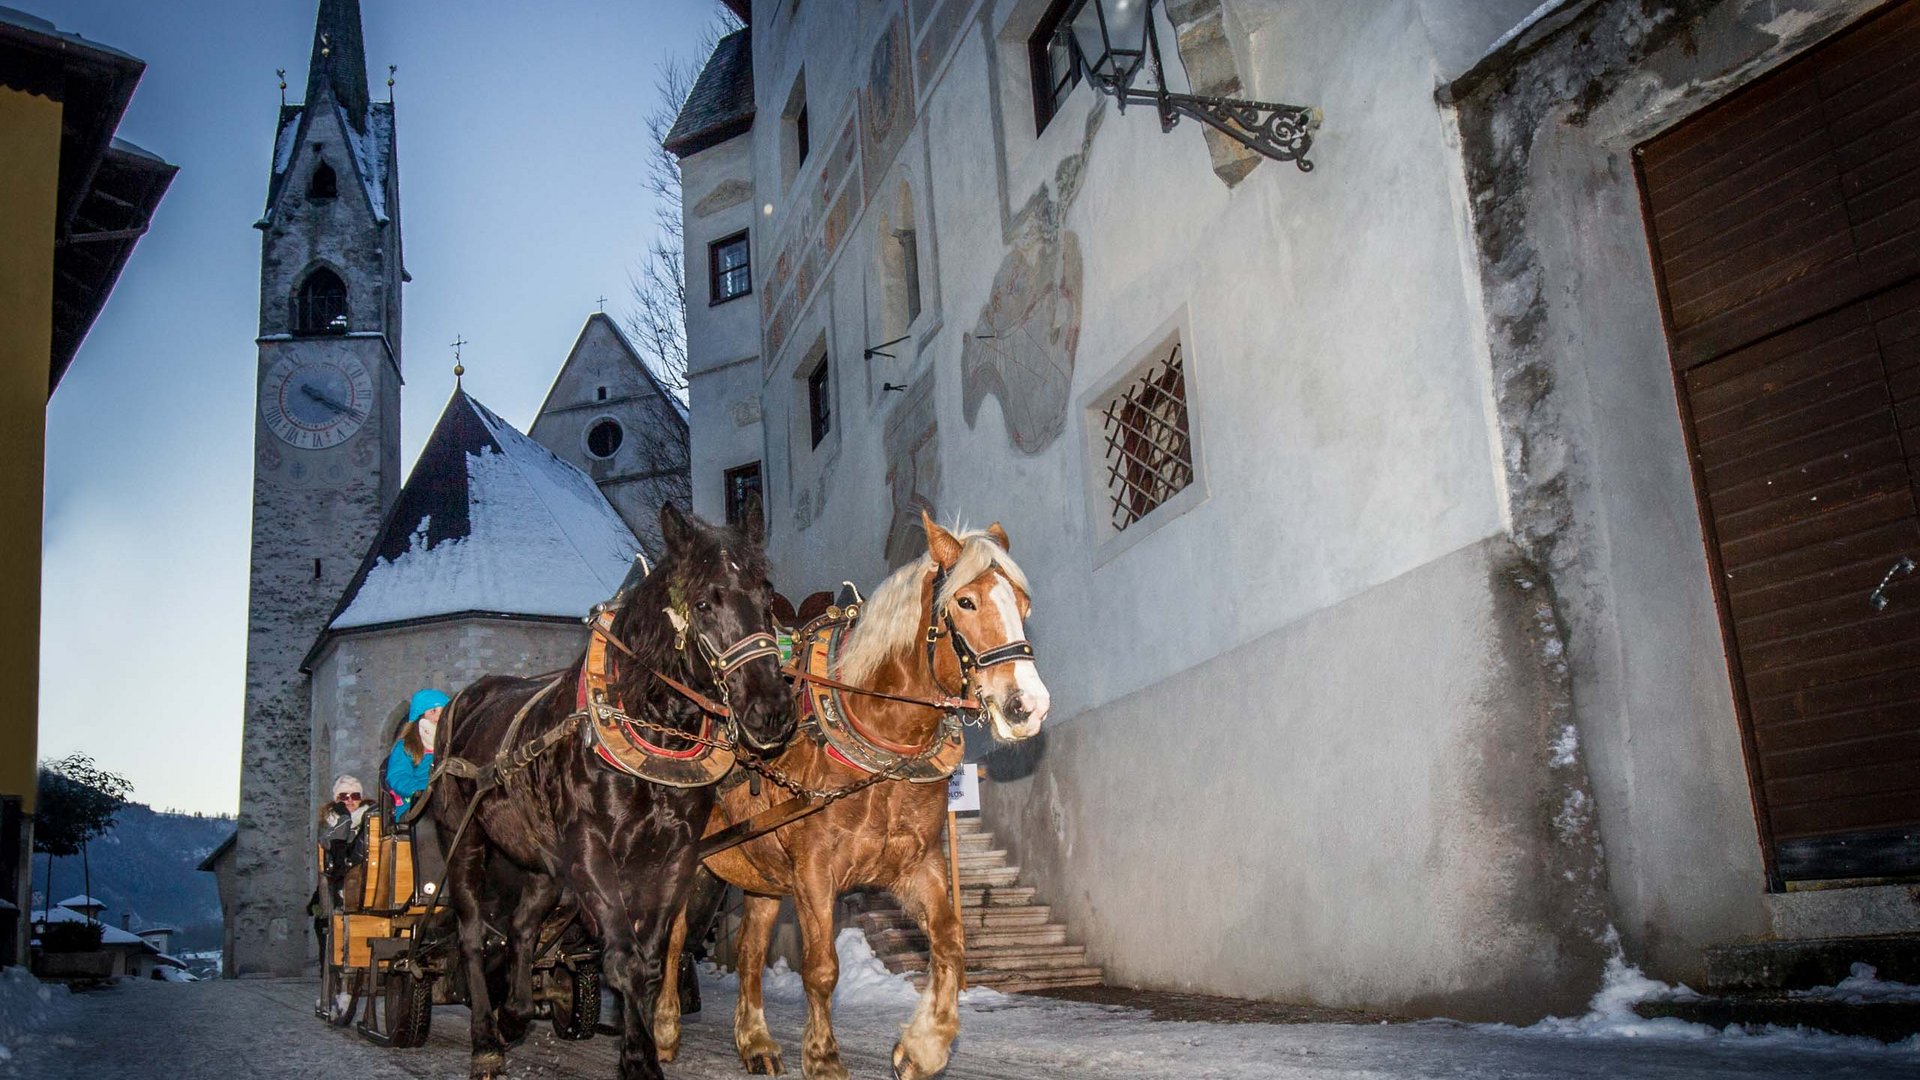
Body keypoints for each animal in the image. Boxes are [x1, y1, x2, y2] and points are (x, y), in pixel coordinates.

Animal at [432, 503, 791, 1076]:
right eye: (704, 601)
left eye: (766, 594)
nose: (773, 710)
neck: (650, 728)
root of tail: (463, 702)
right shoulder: (590, 849)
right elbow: (623, 959)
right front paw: (641, 1057)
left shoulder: (673, 853)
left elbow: (648, 961)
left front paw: (636, 1045)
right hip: (461, 837)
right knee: (470, 936)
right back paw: (486, 1037)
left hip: (545, 865)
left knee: (522, 925)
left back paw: (515, 1013)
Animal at [656, 511, 1052, 1076]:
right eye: (965, 602)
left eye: (1022, 604)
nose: (1028, 706)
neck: (880, 742)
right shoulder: (814, 873)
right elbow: (821, 968)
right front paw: (823, 1057)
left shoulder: (917, 863)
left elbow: (950, 943)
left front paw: (923, 1047)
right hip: (687, 863)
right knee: (671, 942)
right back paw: (664, 1029)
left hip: (759, 874)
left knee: (750, 952)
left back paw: (755, 1042)